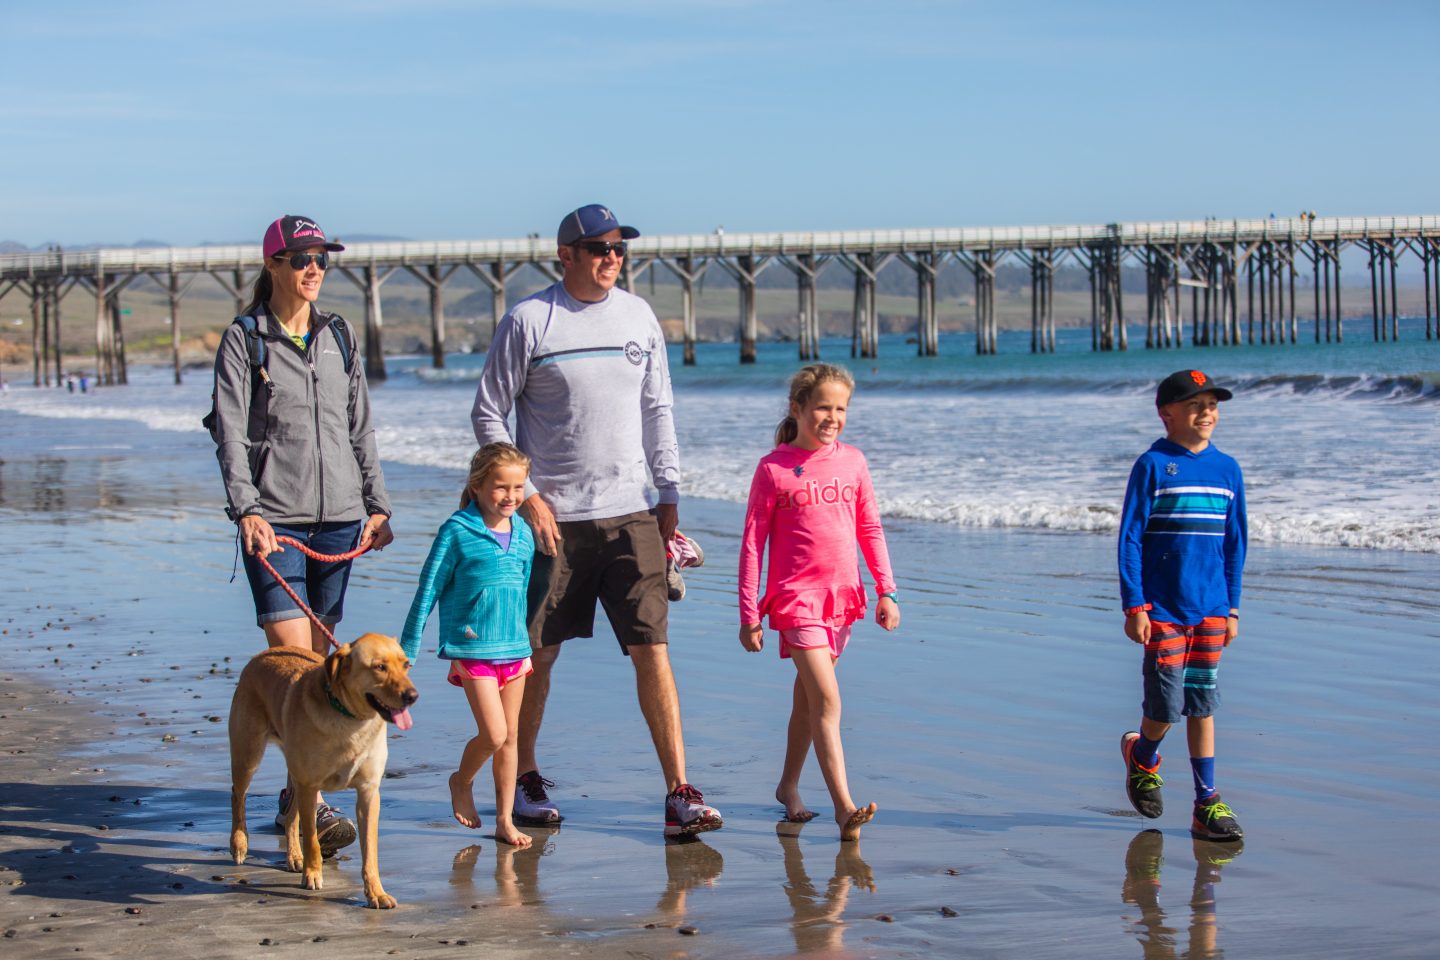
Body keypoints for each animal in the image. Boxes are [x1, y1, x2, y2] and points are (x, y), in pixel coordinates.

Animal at [226, 630, 417, 909]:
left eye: (405, 665)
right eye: (379, 667)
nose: (412, 696)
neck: (350, 720)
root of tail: (261, 656)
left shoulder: (368, 792)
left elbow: (370, 851)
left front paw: (376, 892)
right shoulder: (310, 784)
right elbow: (312, 841)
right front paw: (312, 875)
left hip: (295, 774)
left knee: (291, 816)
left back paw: (294, 856)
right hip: (248, 755)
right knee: (238, 796)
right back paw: (239, 844)